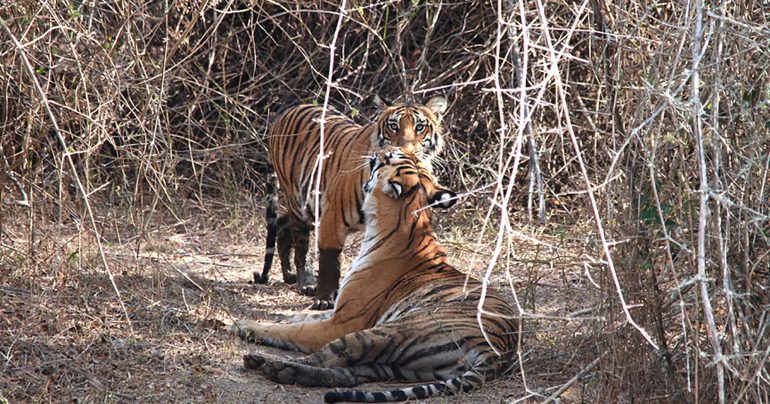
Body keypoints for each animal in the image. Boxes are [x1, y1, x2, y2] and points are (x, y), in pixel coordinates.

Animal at [232, 147, 518, 403]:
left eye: (391, 157)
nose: (380, 148)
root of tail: (496, 350)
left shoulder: (345, 321)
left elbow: (295, 330)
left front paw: (247, 325)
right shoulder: (341, 311)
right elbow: (306, 316)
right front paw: (290, 316)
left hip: (387, 332)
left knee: (325, 358)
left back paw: (266, 363)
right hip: (403, 366)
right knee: (347, 374)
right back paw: (280, 369)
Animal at [255, 96, 449, 310]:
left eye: (420, 127)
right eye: (393, 126)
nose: (406, 149)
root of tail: (283, 114)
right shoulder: (333, 217)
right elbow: (330, 261)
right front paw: (325, 299)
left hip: (310, 206)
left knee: (282, 223)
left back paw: (289, 275)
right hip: (299, 201)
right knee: (301, 245)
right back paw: (306, 281)